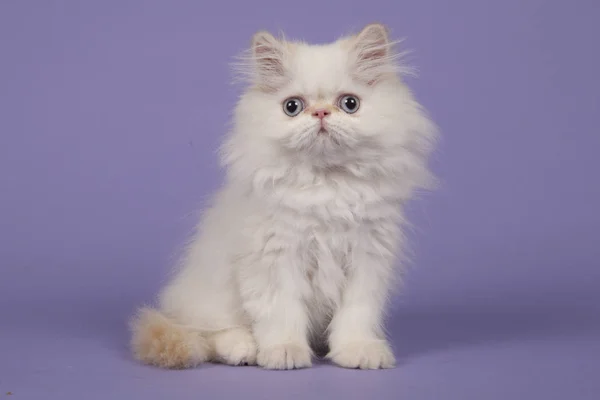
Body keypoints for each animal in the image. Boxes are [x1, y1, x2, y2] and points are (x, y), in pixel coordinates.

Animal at [130, 23, 436, 370]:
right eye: (293, 107)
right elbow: (282, 313)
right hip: (210, 297)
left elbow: (356, 315)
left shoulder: (368, 259)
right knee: (210, 334)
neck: (326, 184)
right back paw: (244, 349)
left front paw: (357, 351)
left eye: (350, 104)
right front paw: (284, 352)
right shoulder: (275, 258)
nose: (320, 112)